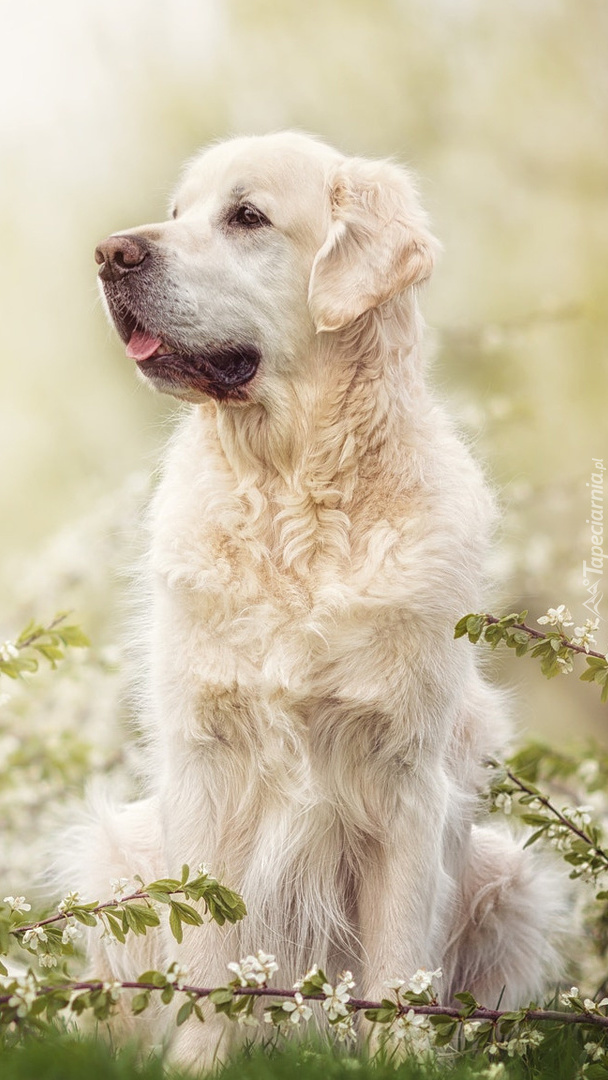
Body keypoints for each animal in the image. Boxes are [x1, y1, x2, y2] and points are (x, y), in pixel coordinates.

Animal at [78, 132, 557, 1062]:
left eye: (247, 216)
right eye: (178, 211)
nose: (112, 254)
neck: (292, 499)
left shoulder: (406, 776)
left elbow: (398, 964)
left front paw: (402, 1061)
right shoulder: (205, 764)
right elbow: (206, 955)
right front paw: (197, 1064)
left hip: (505, 875)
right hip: (117, 849)